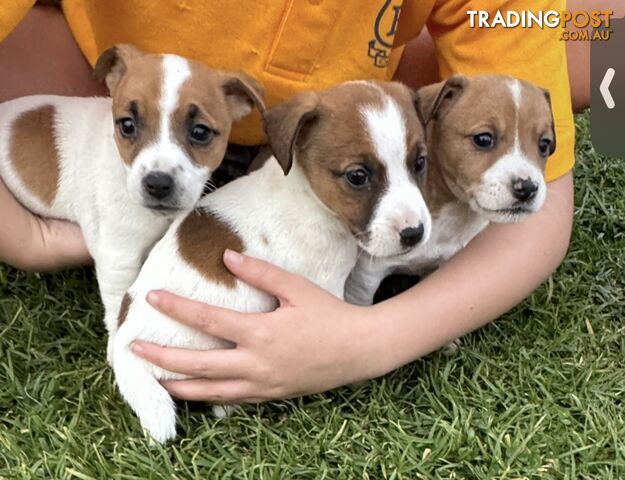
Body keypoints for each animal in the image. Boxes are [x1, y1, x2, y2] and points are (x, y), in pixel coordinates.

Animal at [112, 79, 432, 442]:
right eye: (357, 176)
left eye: (420, 162)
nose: (415, 233)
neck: (310, 197)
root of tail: (126, 353)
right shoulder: (326, 285)